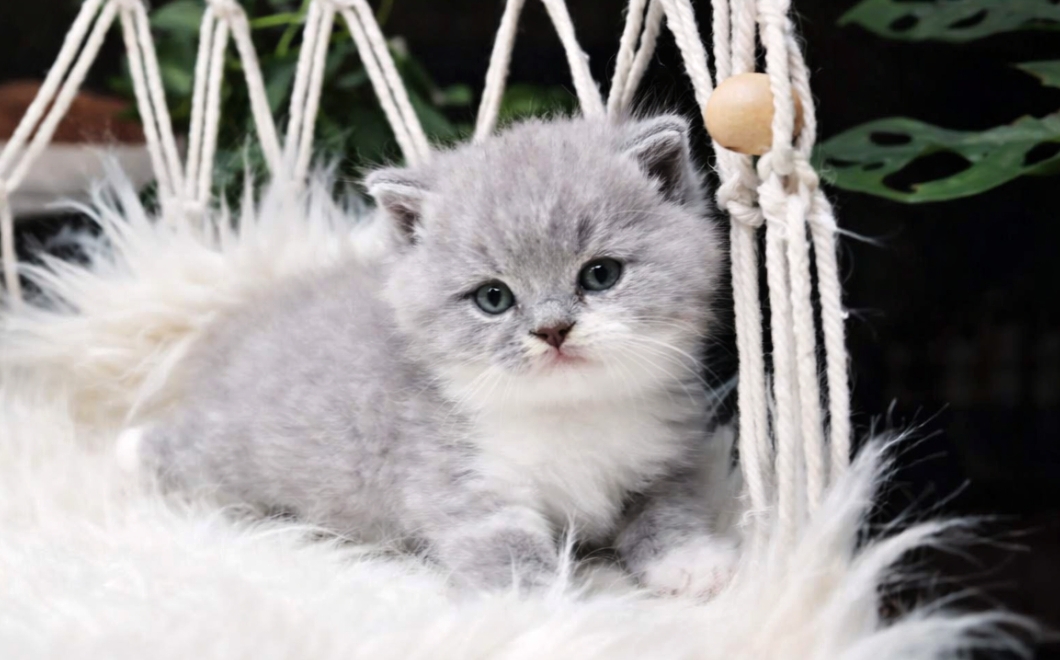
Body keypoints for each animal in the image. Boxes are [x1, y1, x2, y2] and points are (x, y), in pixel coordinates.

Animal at [125, 113, 740, 597]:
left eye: (601, 274)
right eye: (493, 298)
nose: (553, 330)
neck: (571, 413)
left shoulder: (663, 460)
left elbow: (668, 508)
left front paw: (690, 561)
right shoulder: (460, 483)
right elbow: (507, 554)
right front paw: (544, 613)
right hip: (228, 457)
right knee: (174, 452)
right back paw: (129, 448)